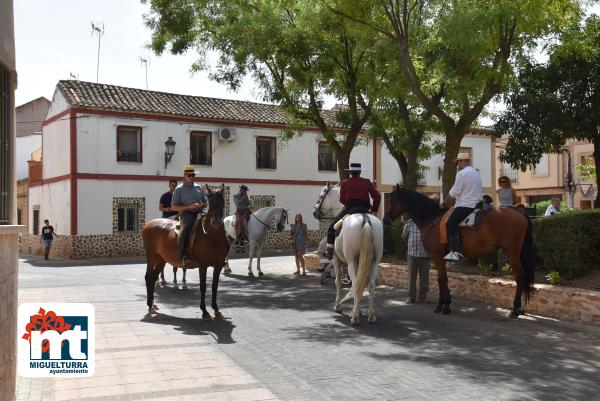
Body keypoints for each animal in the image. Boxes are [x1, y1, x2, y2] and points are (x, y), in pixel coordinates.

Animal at [142, 184, 231, 318]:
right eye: (210, 198)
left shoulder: (219, 264)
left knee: (153, 278)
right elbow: (203, 287)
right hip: (152, 256)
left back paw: (152, 305)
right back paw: (149, 306)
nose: (216, 221)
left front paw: (216, 309)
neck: (213, 236)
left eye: (222, 198)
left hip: (161, 258)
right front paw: (205, 312)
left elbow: (214, 286)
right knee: (148, 277)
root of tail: (149, 224)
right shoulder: (203, 265)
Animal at [314, 183, 384, 324]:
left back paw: (355, 317)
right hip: (375, 261)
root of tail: (365, 219)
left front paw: (338, 306)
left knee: (356, 282)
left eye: (321, 196)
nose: (315, 212)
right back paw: (370, 315)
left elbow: (338, 282)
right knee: (370, 285)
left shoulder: (336, 261)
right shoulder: (359, 261)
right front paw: (358, 308)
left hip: (350, 261)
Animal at [386, 185, 536, 318]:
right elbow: (442, 279)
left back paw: (515, 309)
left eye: (392, 201)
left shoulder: (437, 255)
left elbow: (441, 279)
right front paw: (443, 304)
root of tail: (519, 213)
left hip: (512, 251)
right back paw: (520, 308)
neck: (432, 218)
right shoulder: (440, 258)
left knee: (519, 276)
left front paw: (444, 306)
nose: (385, 220)